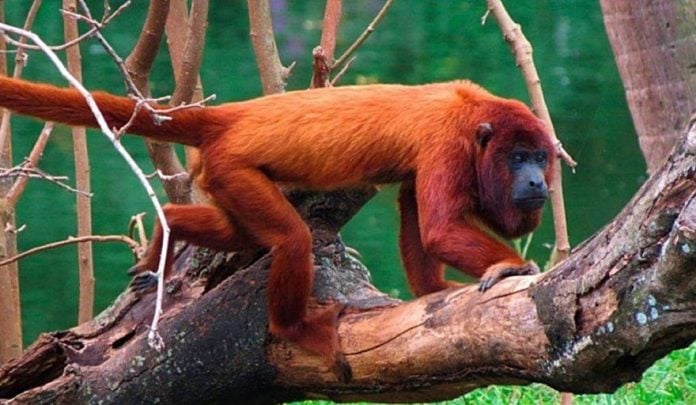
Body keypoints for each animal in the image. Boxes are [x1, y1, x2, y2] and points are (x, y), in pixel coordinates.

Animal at [0, 76, 555, 378]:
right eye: (518, 158)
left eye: (541, 157)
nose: (537, 181)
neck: (475, 117)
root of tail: (226, 119)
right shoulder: (447, 142)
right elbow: (437, 226)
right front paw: (512, 267)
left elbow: (414, 210)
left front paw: (432, 290)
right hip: (233, 169)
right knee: (291, 239)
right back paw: (295, 328)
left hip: (222, 178)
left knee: (236, 233)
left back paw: (167, 232)